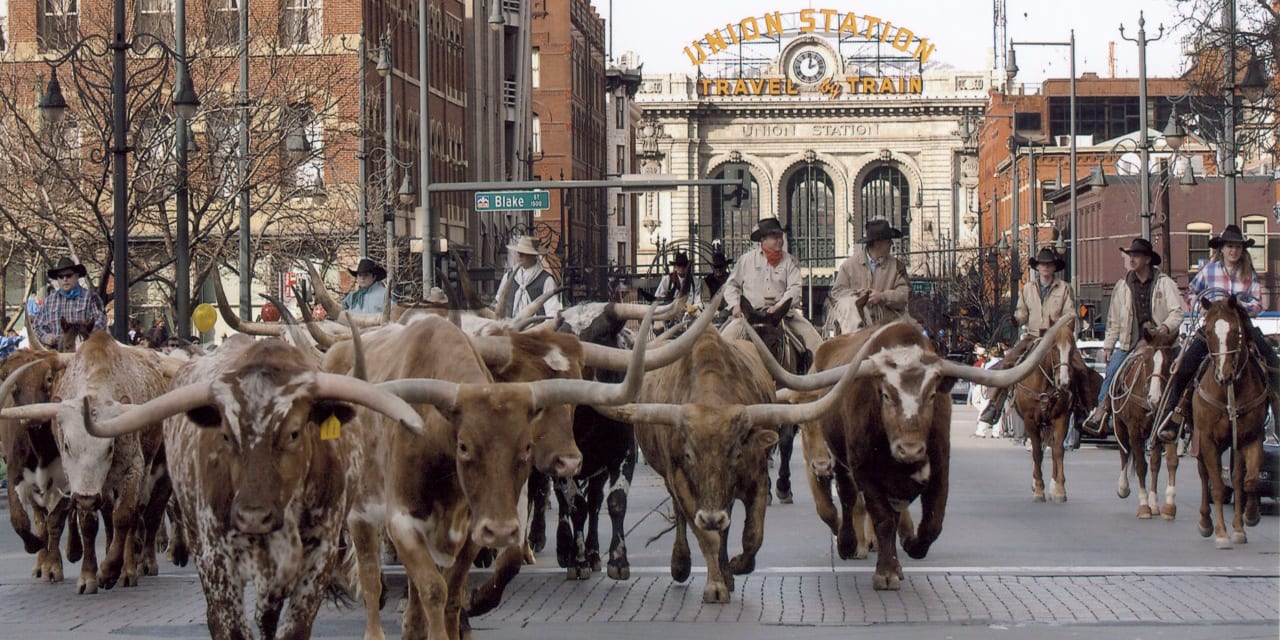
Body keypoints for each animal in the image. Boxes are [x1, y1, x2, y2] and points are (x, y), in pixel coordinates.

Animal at [1008, 317, 1080, 501]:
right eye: (1054, 347)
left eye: (1073, 348)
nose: (1064, 382)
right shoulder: (1030, 421)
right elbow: (1037, 454)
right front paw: (1039, 487)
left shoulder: (1061, 418)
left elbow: (1058, 450)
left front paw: (1059, 488)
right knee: (1037, 449)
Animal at [1111, 327, 1177, 517]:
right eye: (1147, 361)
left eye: (1169, 361)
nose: (1155, 398)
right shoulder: (1134, 430)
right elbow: (1141, 465)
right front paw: (1143, 505)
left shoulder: (1166, 428)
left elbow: (1170, 462)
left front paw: (1168, 505)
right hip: (1120, 426)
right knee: (1124, 452)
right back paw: (1123, 487)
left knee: (1155, 463)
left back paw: (1154, 503)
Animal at [1187, 294, 1269, 550]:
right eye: (1208, 331)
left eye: (1235, 330)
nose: (1223, 375)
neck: (1230, 389)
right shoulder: (1208, 441)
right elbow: (1215, 485)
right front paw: (1221, 533)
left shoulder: (1250, 439)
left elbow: (1248, 481)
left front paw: (1249, 519)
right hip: (1199, 441)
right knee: (1204, 476)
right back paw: (1205, 522)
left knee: (1235, 479)